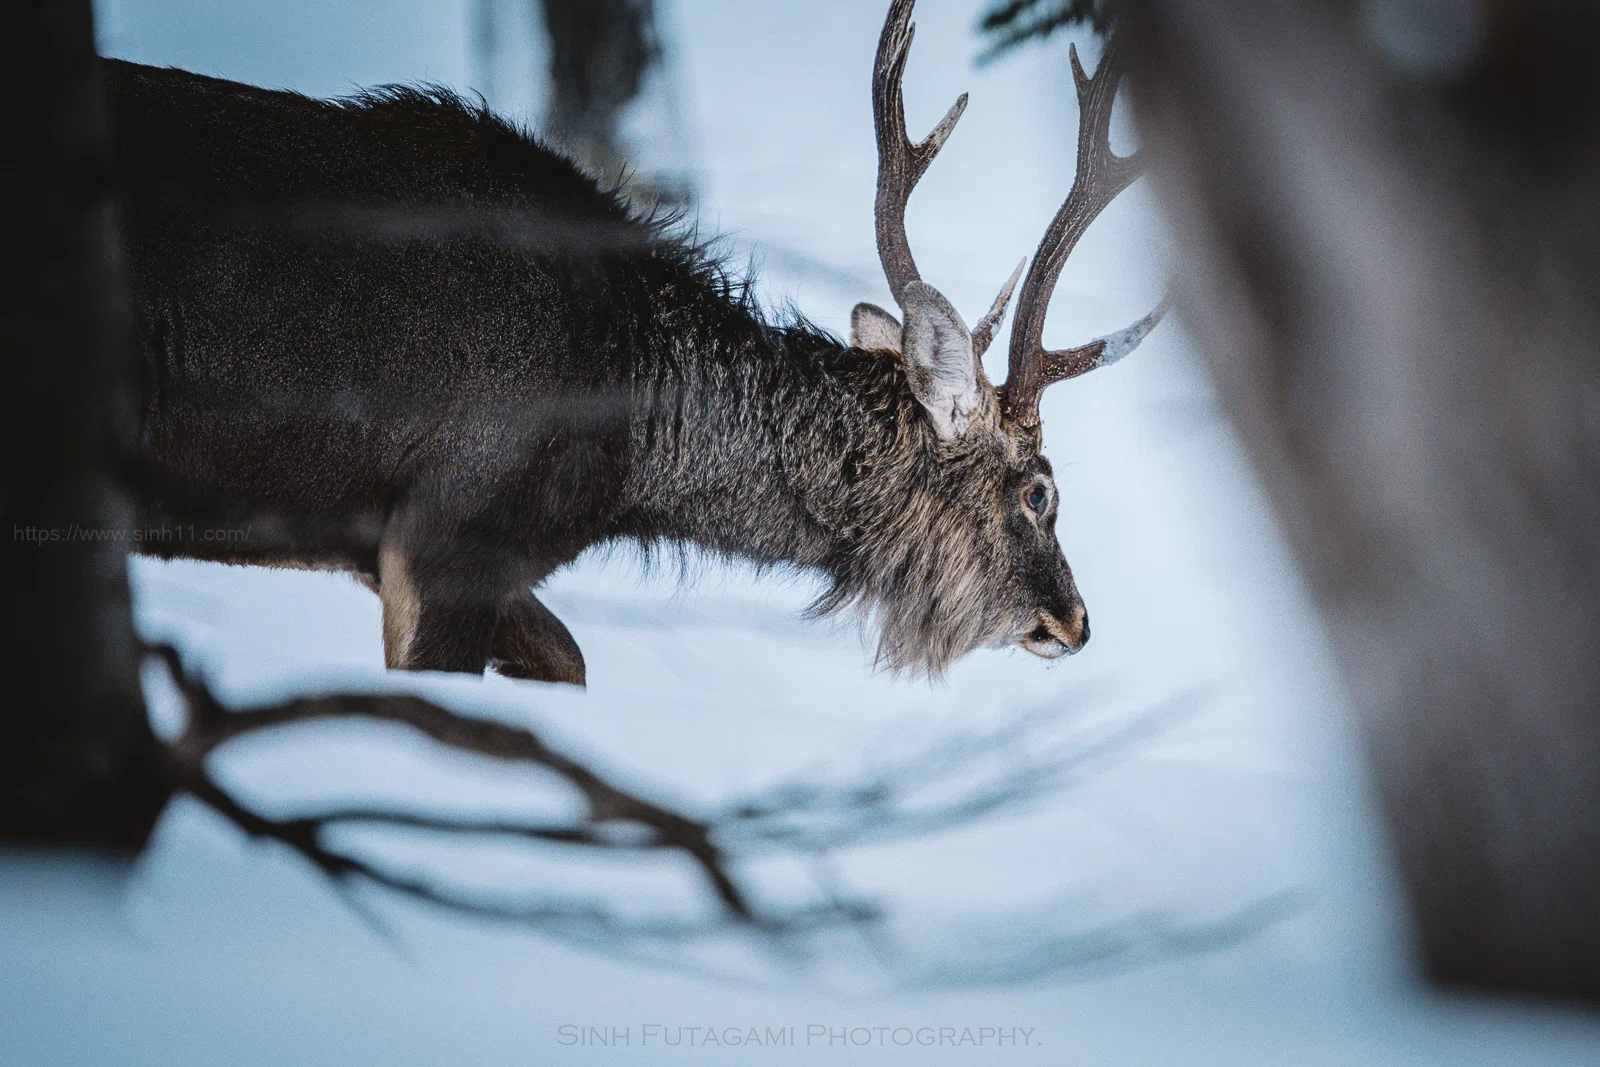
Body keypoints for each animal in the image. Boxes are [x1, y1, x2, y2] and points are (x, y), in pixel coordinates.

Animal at [106, 0, 1163, 687]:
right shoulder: (449, 526)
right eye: (1038, 491)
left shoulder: (389, 547)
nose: (1075, 620)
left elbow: (570, 664)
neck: (622, 445)